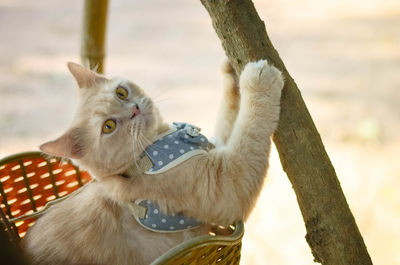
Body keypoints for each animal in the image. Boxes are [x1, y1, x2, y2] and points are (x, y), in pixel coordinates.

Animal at [21, 59, 284, 264]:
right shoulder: (227, 186)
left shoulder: (216, 146)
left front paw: (231, 73)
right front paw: (259, 80)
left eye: (121, 92)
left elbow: (230, 116)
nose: (134, 109)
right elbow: (250, 127)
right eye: (109, 126)